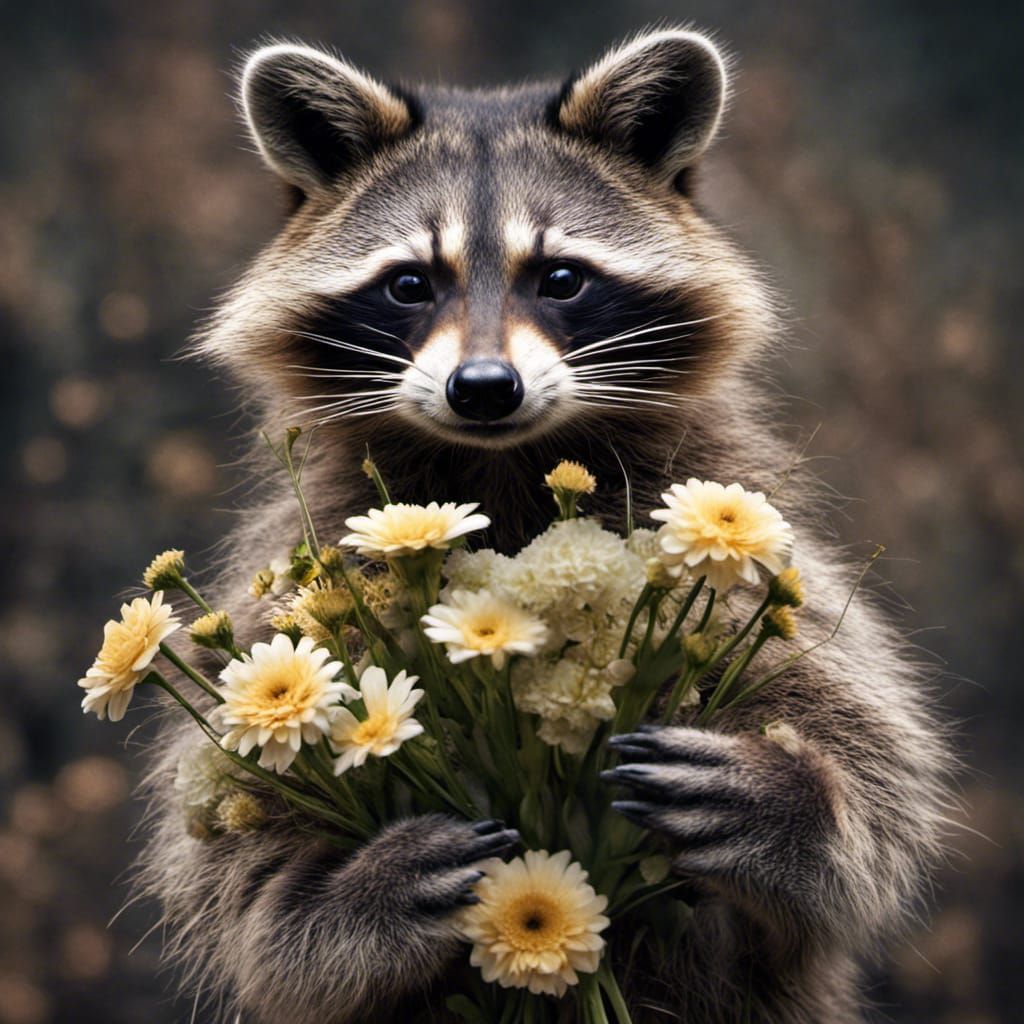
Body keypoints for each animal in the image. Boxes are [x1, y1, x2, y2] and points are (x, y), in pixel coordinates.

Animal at [136, 28, 950, 1019]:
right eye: (410, 285)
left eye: (560, 278)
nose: (485, 388)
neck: (503, 463)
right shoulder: (310, 554)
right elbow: (240, 876)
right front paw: (350, 895)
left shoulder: (737, 515)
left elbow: (869, 746)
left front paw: (800, 803)